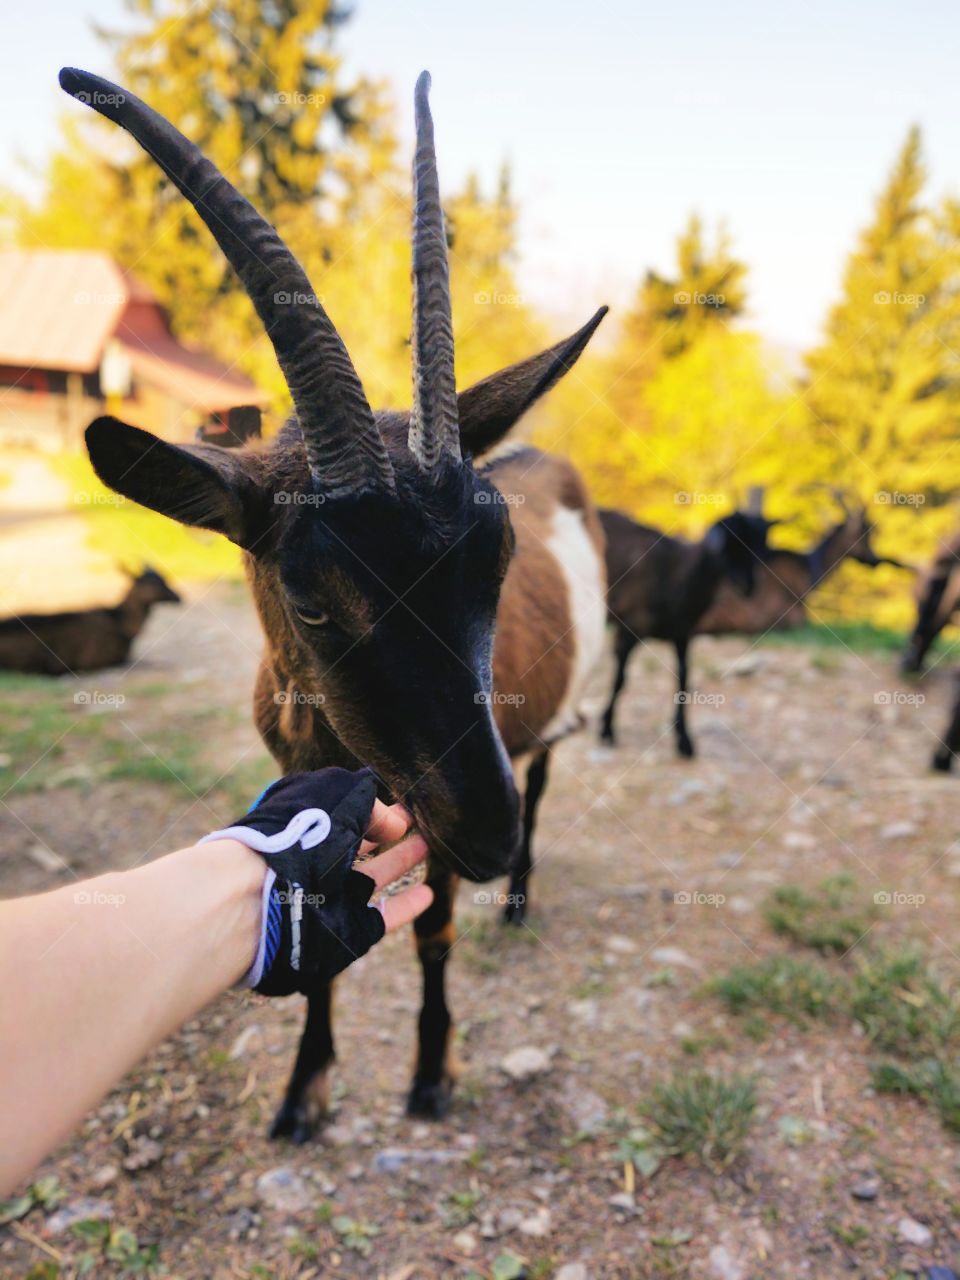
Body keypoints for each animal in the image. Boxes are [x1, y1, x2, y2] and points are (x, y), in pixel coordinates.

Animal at [63, 68, 609, 1140]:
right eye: (311, 603)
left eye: (497, 561)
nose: (487, 830)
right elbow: (320, 941)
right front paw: (304, 1088)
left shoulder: (437, 814)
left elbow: (434, 932)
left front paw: (431, 1074)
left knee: (549, 779)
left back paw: (521, 894)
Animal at [599, 508, 775, 756]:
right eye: (730, 545)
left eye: (760, 546)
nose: (748, 586)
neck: (678, 576)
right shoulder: (629, 627)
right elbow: (620, 679)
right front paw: (607, 730)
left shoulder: (683, 634)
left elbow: (683, 679)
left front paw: (685, 741)